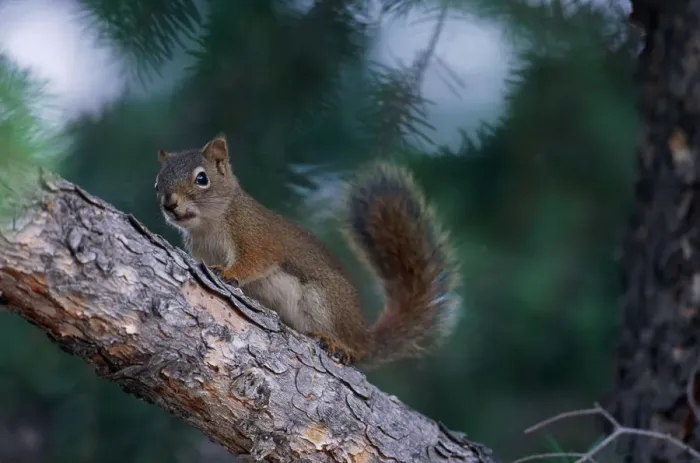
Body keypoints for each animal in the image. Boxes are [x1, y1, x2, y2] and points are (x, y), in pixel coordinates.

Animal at [154, 135, 460, 366]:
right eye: (158, 182)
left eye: (201, 179)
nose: (169, 204)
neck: (208, 226)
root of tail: (361, 334)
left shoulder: (256, 236)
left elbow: (255, 260)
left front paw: (229, 273)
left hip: (324, 302)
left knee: (353, 349)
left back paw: (337, 345)